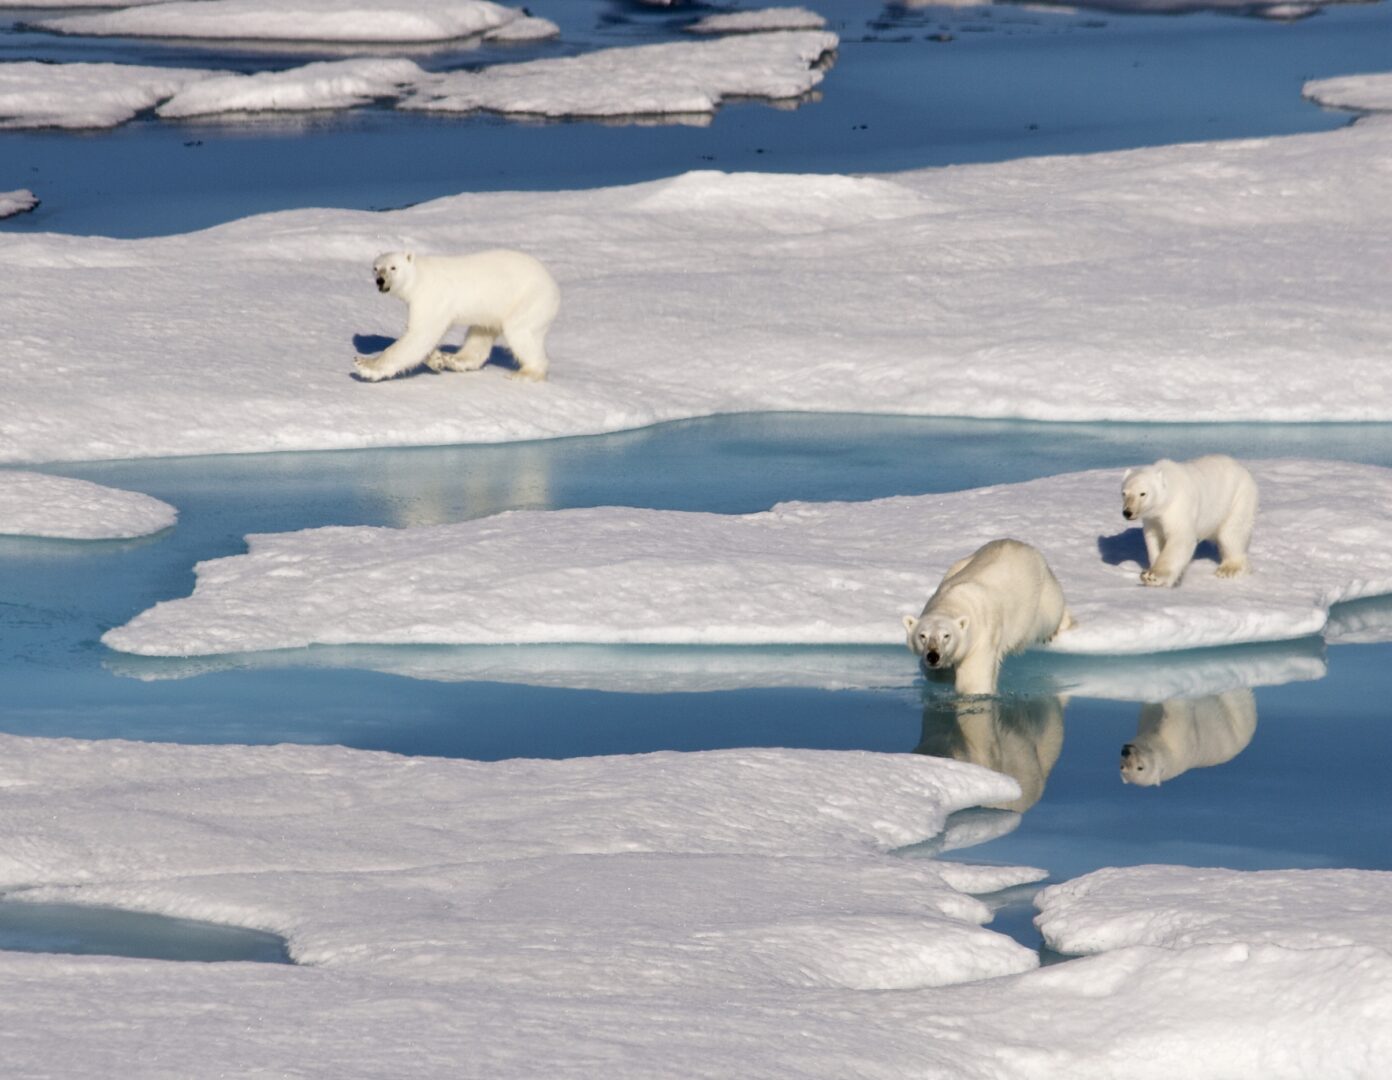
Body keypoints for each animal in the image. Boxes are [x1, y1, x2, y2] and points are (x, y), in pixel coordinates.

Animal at [355, 249, 560, 383]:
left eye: (393, 268)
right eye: (376, 267)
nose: (380, 281)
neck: (419, 276)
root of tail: (554, 287)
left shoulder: (431, 296)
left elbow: (420, 334)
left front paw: (365, 365)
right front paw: (436, 359)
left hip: (529, 300)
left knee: (521, 332)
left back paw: (526, 373)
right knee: (480, 334)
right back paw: (454, 360)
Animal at [901, 538, 1074, 696]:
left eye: (946, 635)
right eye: (922, 635)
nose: (933, 656)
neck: (953, 601)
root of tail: (1024, 545)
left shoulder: (982, 637)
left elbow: (973, 682)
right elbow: (933, 673)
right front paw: (947, 673)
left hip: (1040, 594)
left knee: (1051, 612)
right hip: (959, 564)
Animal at [1121, 454, 1257, 587]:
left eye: (1143, 493)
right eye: (1124, 493)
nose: (1127, 512)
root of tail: (1241, 468)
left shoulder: (1178, 506)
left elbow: (1180, 538)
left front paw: (1152, 576)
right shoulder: (1152, 518)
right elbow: (1154, 539)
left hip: (1238, 498)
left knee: (1232, 534)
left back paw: (1228, 569)